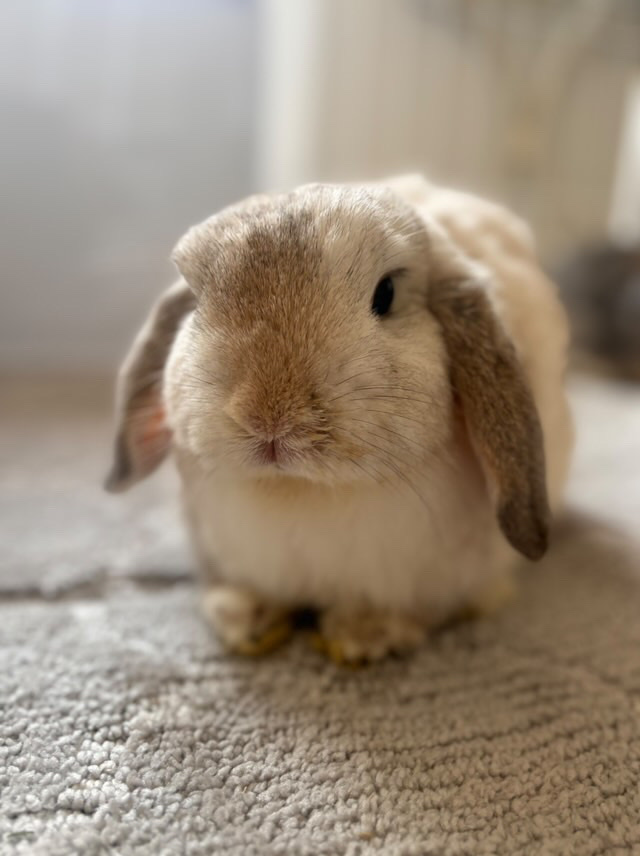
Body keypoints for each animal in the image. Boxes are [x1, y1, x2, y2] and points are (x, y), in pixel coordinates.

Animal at [105, 175, 573, 663]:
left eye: (386, 294)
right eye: (196, 305)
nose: (267, 416)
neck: (299, 490)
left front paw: (362, 636)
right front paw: (245, 619)